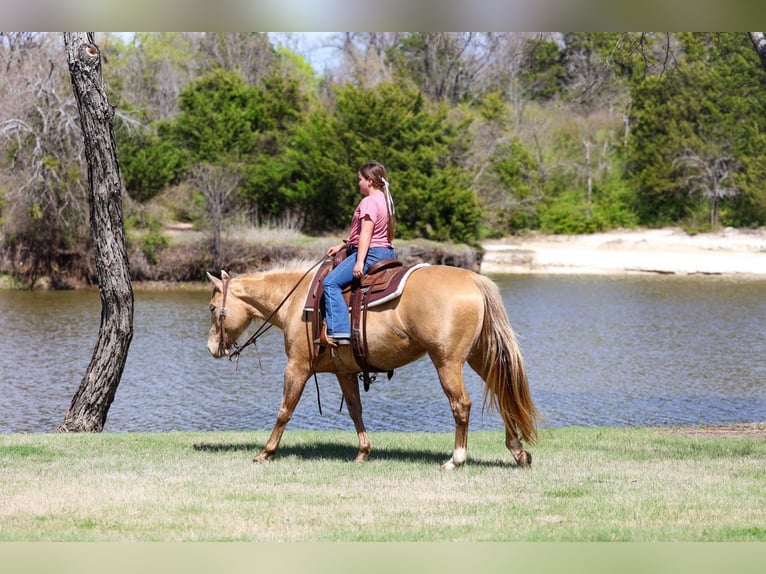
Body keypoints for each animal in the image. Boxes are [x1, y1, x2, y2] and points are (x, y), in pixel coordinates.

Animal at [206, 261, 539, 470]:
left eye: (211, 308)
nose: (211, 347)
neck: (297, 303)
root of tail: (473, 279)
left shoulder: (297, 366)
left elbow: (284, 410)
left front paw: (265, 452)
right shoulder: (344, 371)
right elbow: (356, 410)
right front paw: (363, 452)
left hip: (447, 361)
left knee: (461, 405)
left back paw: (456, 459)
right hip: (480, 356)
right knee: (503, 393)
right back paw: (518, 451)